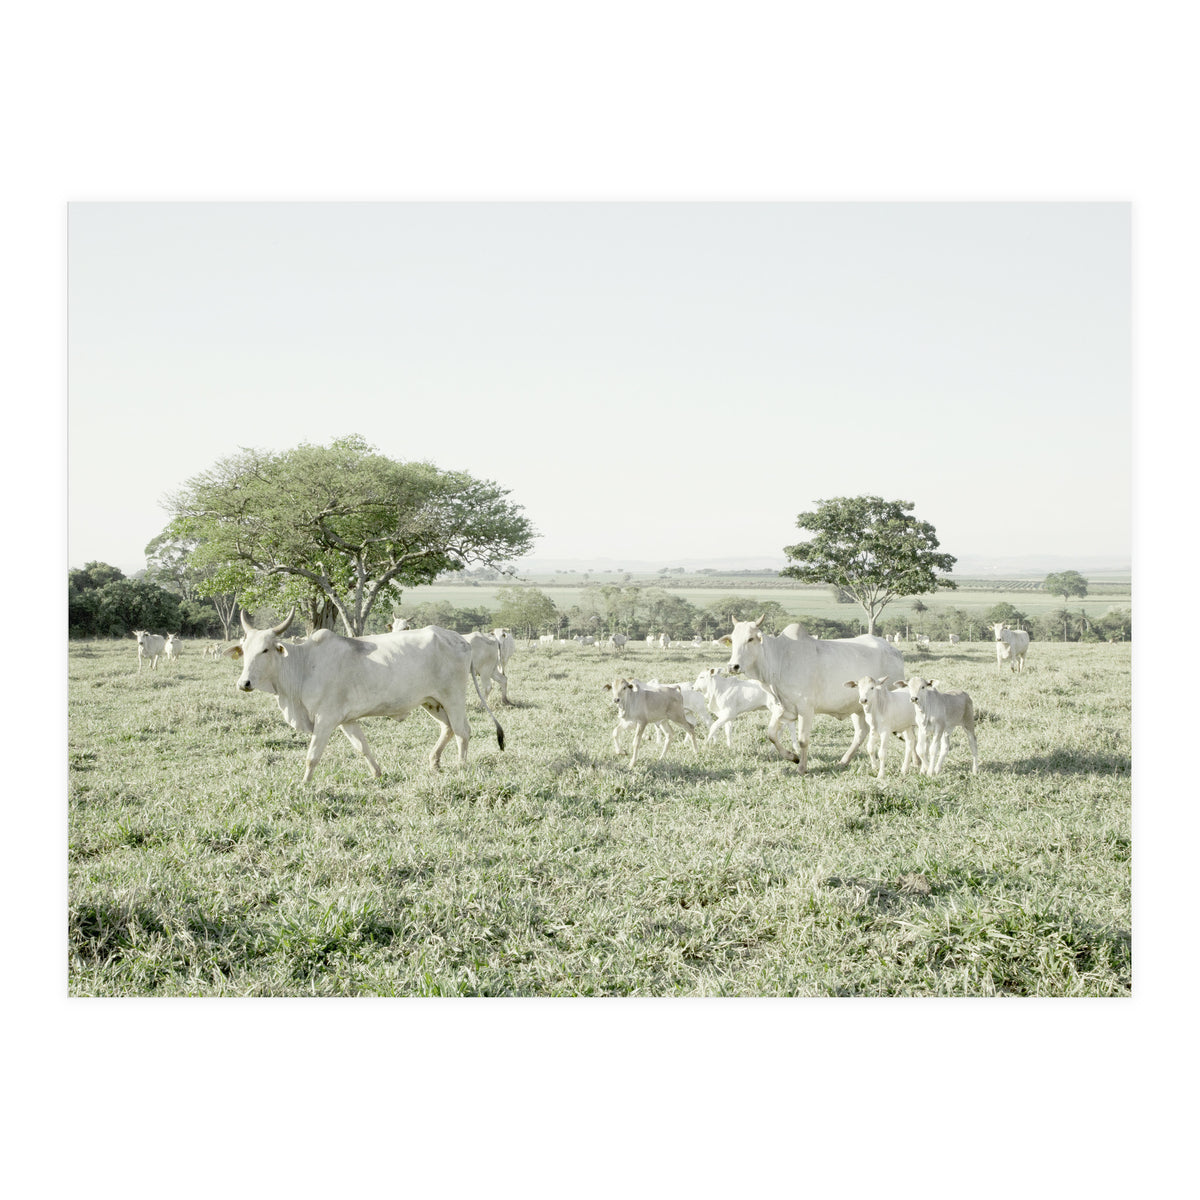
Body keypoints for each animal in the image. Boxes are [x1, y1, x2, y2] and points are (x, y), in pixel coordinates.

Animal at [225, 609, 504, 782]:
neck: (303, 665)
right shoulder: (347, 720)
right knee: (447, 729)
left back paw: (461, 767)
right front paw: (377, 774)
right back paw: (434, 763)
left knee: (462, 731)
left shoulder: (326, 719)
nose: (244, 683)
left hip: (453, 698)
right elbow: (363, 748)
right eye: (245, 649)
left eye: (265, 650)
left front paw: (304, 784)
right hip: (432, 702)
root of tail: (460, 639)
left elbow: (312, 756)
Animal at [721, 616, 904, 773]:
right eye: (733, 640)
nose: (733, 666)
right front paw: (792, 757)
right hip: (859, 707)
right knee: (861, 732)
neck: (779, 659)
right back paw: (843, 761)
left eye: (750, 639)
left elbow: (803, 740)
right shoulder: (782, 708)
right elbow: (771, 734)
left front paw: (802, 767)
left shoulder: (806, 709)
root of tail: (894, 651)